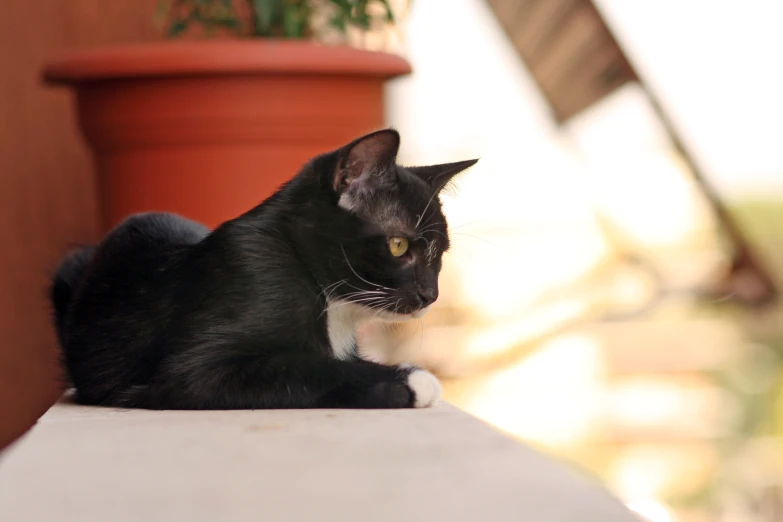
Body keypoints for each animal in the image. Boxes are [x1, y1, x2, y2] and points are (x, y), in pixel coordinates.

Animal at [50, 128, 478, 408]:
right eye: (398, 245)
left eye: (440, 254)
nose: (430, 294)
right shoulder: (196, 366)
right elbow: (305, 367)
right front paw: (409, 380)